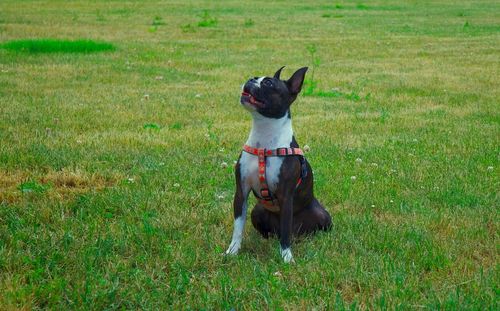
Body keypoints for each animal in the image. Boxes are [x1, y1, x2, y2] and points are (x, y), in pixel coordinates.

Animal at [227, 66, 332, 264]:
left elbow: (285, 231)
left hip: (323, 216)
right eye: (256, 77)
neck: (264, 139)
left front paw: (286, 257)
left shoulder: (285, 196)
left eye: (268, 83)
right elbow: (238, 227)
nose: (251, 79)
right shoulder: (241, 191)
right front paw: (232, 251)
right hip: (257, 211)